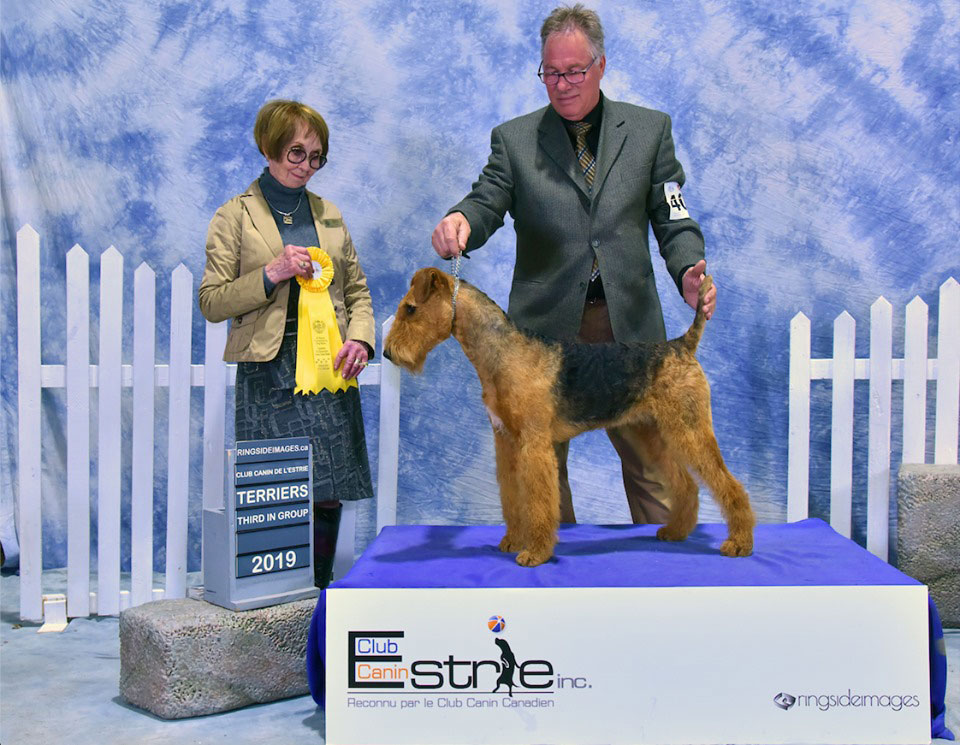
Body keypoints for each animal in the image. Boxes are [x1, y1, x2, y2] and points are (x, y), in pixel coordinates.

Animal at [383, 267, 755, 567]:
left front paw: (534, 553)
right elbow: (512, 496)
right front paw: (512, 540)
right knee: (686, 484)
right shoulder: (506, 442)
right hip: (652, 434)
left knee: (728, 485)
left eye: (411, 308)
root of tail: (682, 345)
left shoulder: (534, 445)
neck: (501, 354)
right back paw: (675, 531)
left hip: (690, 429)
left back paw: (739, 543)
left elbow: (539, 501)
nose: (387, 353)